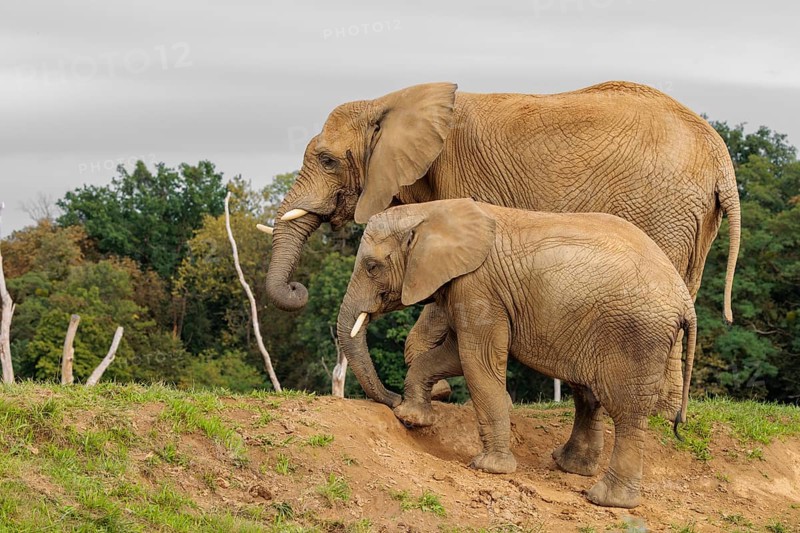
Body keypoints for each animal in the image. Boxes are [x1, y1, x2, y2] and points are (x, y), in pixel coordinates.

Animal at [265, 81, 738, 414]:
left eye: (327, 160)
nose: (298, 290)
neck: (391, 100)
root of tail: (722, 160)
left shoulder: (462, 179)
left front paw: (437, 394)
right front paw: (437, 393)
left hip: (664, 209)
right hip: (692, 220)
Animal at [336, 199, 696, 509]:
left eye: (372, 266)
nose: (392, 400)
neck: (431, 211)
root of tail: (684, 301)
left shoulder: (478, 286)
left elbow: (476, 359)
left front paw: (488, 467)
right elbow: (454, 353)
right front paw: (413, 417)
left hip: (636, 337)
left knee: (627, 414)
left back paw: (606, 500)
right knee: (588, 395)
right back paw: (569, 466)